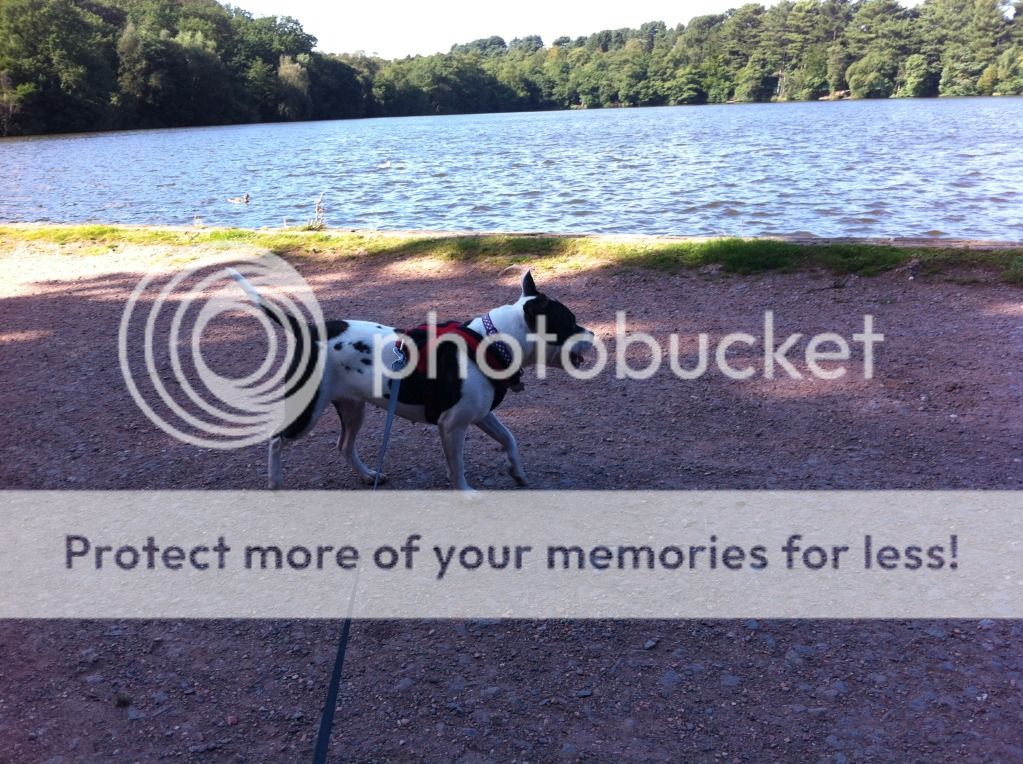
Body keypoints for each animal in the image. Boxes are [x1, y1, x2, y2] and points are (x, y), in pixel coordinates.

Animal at [228, 272, 589, 492]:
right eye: (570, 321)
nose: (593, 334)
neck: (489, 343)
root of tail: (311, 329)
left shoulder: (481, 414)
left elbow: (510, 439)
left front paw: (517, 472)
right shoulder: (453, 426)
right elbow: (457, 467)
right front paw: (466, 492)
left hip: (353, 408)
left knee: (344, 445)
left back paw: (368, 475)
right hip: (308, 411)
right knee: (276, 441)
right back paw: (276, 484)